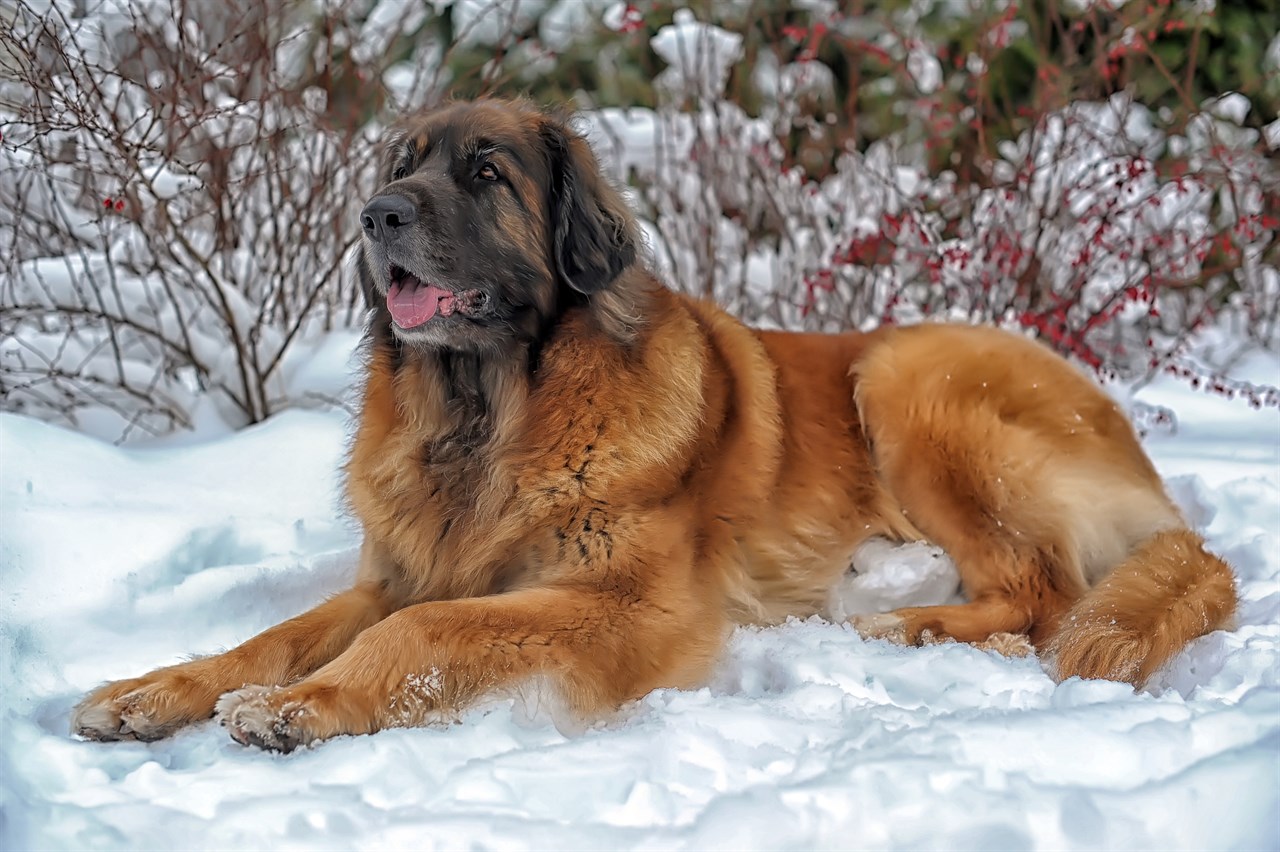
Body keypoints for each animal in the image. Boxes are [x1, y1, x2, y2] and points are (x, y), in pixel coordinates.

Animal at [72, 101, 1239, 752]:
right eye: (400, 166)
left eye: (484, 172)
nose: (376, 215)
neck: (489, 413)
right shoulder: (393, 573)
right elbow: (272, 636)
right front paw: (156, 690)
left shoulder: (623, 601)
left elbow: (425, 631)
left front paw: (301, 707)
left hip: (907, 378)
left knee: (1042, 597)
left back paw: (901, 623)